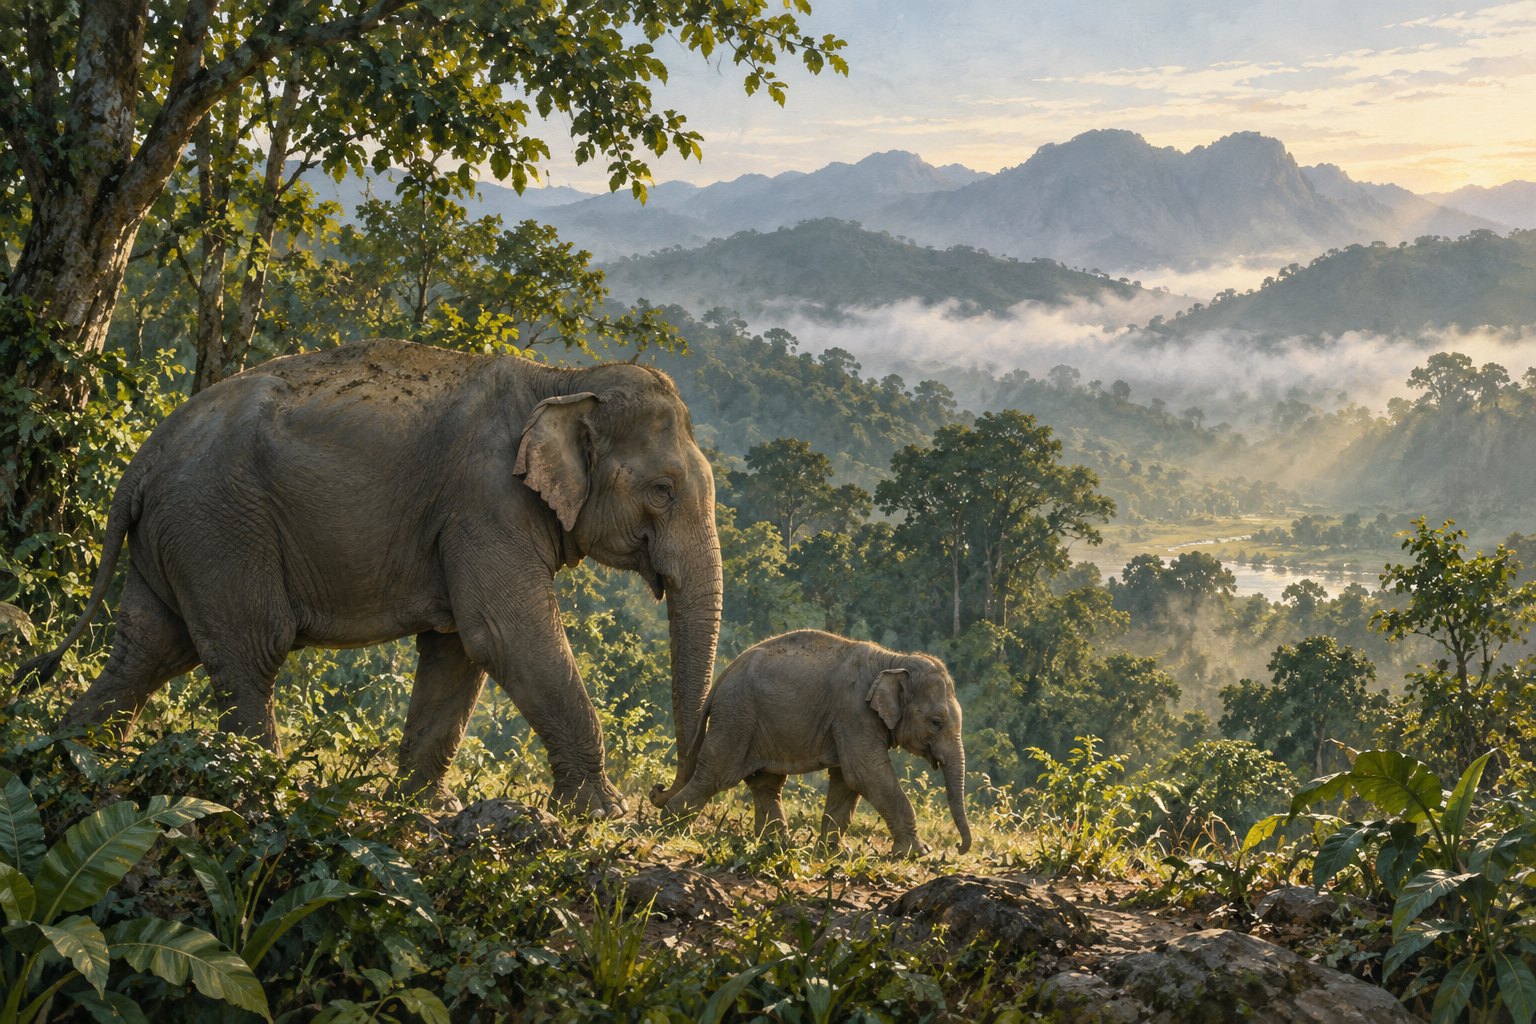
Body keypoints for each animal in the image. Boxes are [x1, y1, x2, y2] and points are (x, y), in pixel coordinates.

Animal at [16, 338, 723, 818]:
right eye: (662, 491)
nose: (661, 796)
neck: (564, 380)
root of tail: (142, 459)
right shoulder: (484, 503)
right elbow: (504, 632)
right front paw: (605, 814)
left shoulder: (461, 521)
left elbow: (458, 649)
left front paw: (420, 808)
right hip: (217, 527)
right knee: (249, 649)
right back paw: (264, 789)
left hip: (173, 537)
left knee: (149, 648)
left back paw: (78, 755)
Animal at [649, 629, 971, 856]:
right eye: (936, 722)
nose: (959, 848)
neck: (893, 660)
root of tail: (723, 675)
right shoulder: (853, 713)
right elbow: (865, 773)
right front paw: (919, 853)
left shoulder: (848, 721)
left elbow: (847, 781)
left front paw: (834, 851)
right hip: (736, 716)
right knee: (717, 773)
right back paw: (671, 826)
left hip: (756, 724)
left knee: (766, 783)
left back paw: (779, 844)